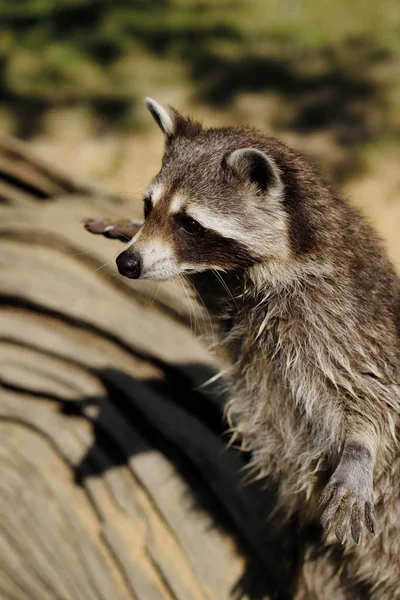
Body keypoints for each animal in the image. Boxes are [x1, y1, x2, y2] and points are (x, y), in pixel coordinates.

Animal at [86, 99, 400, 600]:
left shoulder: (342, 312)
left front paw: (360, 445)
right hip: (325, 558)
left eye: (189, 223)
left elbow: (370, 388)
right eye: (149, 206)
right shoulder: (240, 303)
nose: (128, 264)